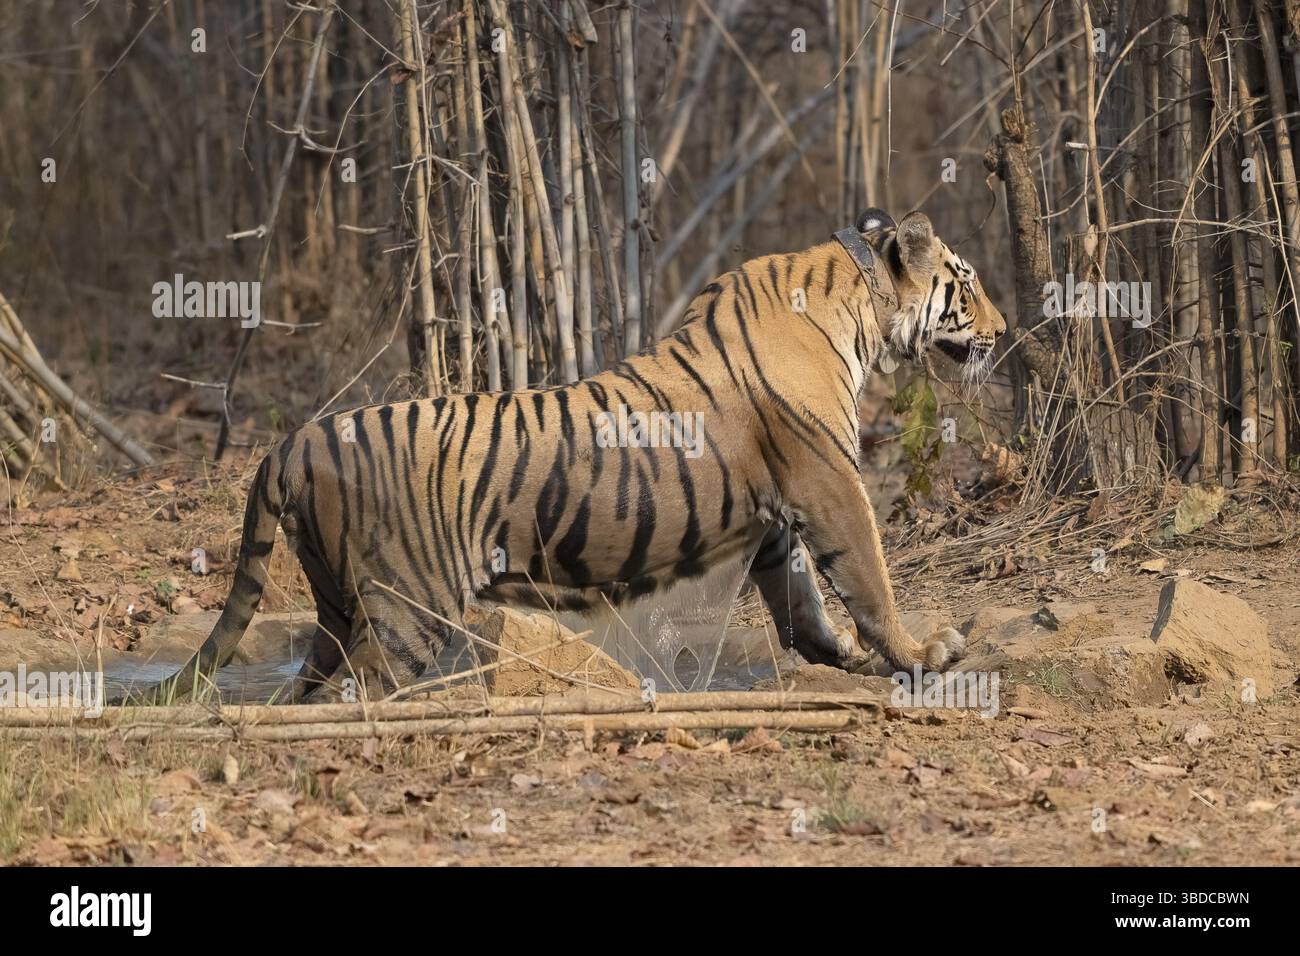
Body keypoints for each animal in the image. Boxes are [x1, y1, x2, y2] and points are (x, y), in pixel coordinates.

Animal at [130, 208, 1006, 704]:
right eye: (965, 283)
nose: (1002, 331)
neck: (860, 308)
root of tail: (299, 437)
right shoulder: (829, 484)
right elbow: (868, 578)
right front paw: (921, 653)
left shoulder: (781, 513)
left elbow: (805, 606)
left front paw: (845, 659)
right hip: (408, 607)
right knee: (361, 693)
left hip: (337, 604)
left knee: (311, 686)